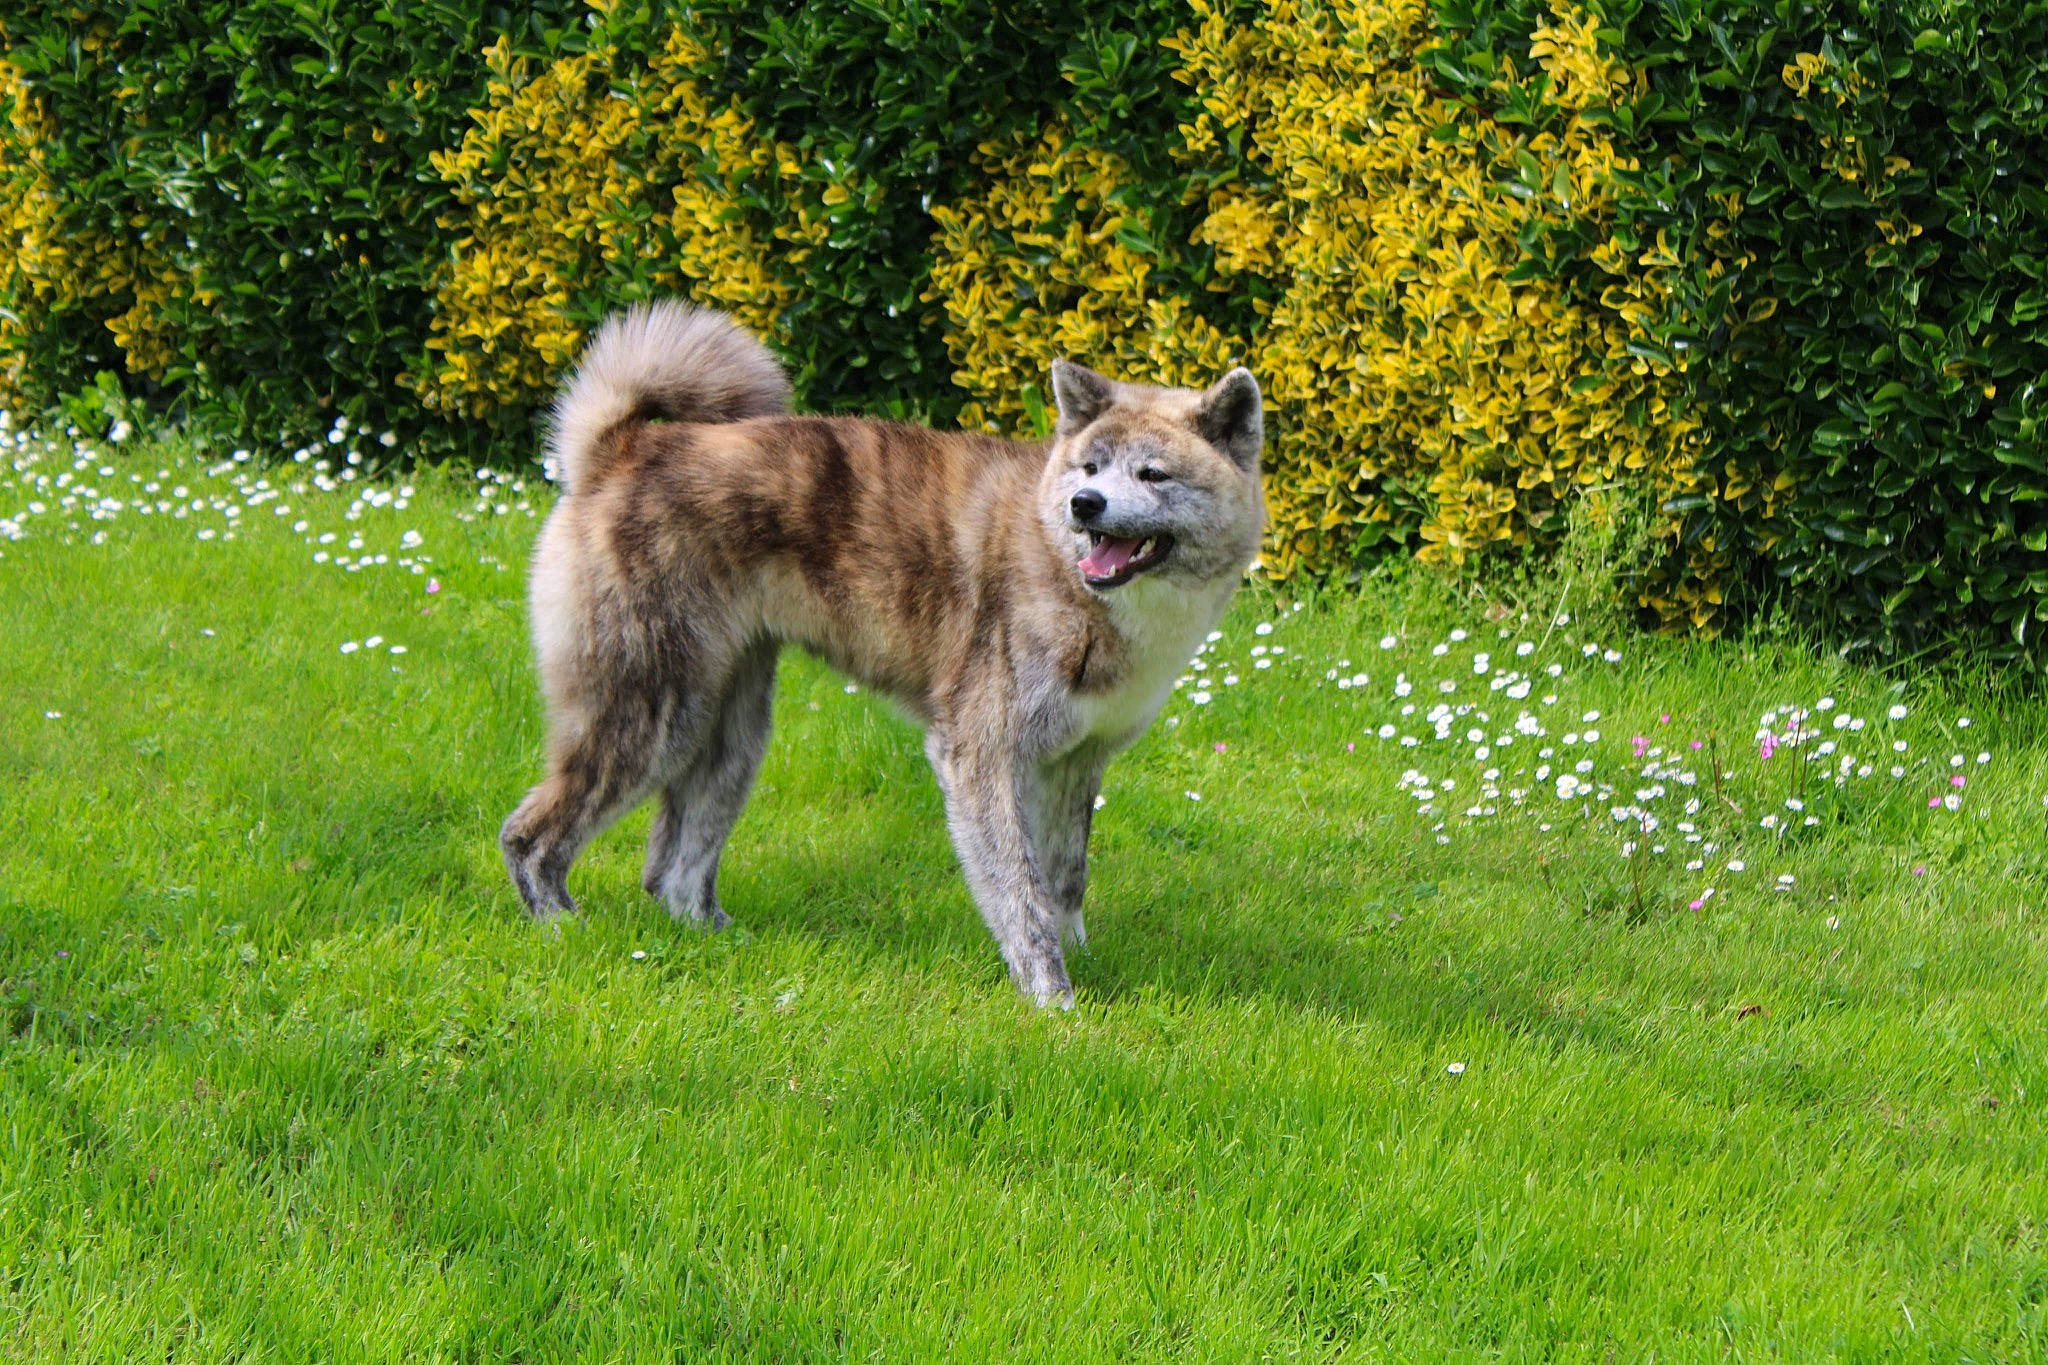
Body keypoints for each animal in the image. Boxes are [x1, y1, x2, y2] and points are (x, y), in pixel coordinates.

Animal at [500, 301, 1264, 1005]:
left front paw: (1077, 955)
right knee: (531, 837)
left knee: (672, 874)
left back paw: (722, 943)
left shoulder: (1074, 765)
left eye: (1153, 474)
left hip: (730, 731)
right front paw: (1055, 1000)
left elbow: (1065, 878)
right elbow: (1020, 892)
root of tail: (622, 448)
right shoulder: (981, 756)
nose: (1085, 504)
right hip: (649, 715)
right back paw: (562, 927)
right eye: (1091, 466)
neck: (1070, 575)